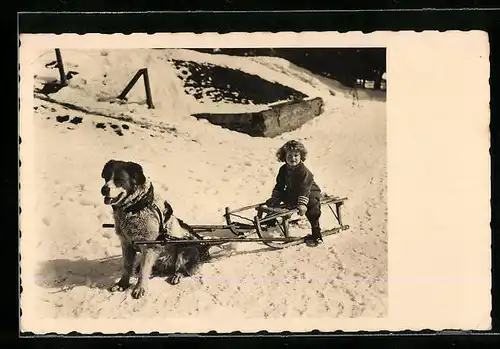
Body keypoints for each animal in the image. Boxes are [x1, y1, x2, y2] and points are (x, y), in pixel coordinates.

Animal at [100, 159, 210, 298]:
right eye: (106, 178)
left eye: (119, 180)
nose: (103, 189)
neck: (135, 208)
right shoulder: (127, 244)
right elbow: (127, 266)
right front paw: (122, 284)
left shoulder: (149, 246)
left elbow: (143, 270)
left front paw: (140, 288)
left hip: (184, 248)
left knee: (181, 269)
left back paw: (176, 276)